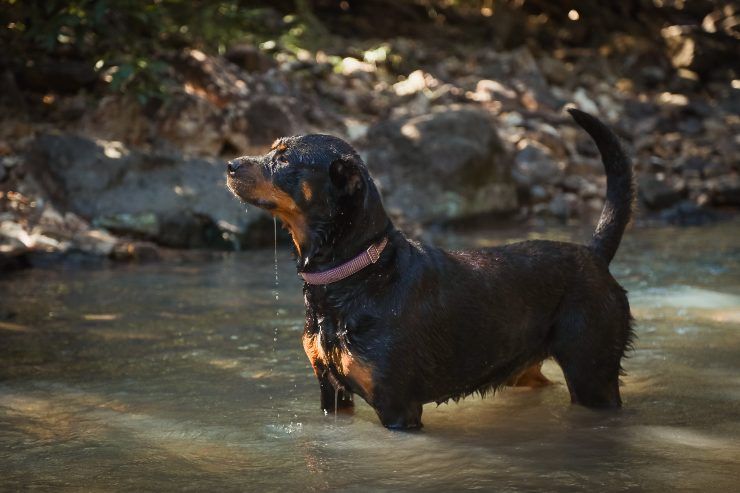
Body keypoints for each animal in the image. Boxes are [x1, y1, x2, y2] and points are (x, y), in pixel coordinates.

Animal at [224, 109, 632, 428]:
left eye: (284, 159)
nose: (229, 165)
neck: (353, 276)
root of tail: (594, 255)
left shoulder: (397, 406)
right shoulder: (332, 394)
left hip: (592, 373)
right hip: (526, 370)